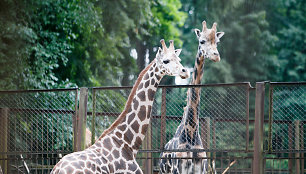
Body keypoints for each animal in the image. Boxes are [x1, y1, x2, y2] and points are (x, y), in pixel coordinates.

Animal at [160, 21, 225, 173]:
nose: (216, 56)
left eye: (217, 42)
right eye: (202, 41)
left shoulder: (201, 169)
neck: (191, 133)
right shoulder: (178, 169)